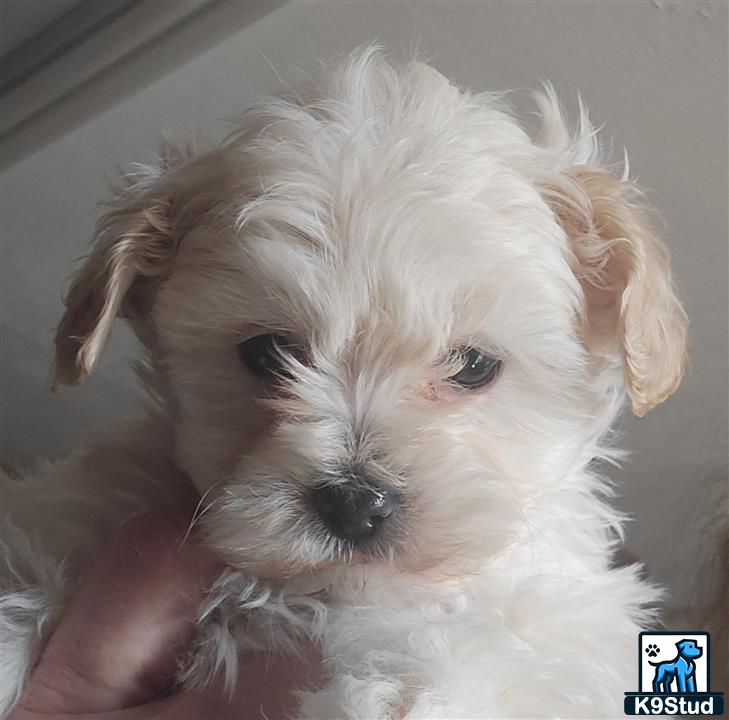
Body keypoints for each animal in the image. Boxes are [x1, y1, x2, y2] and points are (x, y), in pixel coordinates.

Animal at [0, 47, 684, 716]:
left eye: (473, 366)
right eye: (269, 353)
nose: (356, 503)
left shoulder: (566, 613)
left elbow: (506, 644)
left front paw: (414, 691)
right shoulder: (90, 499)